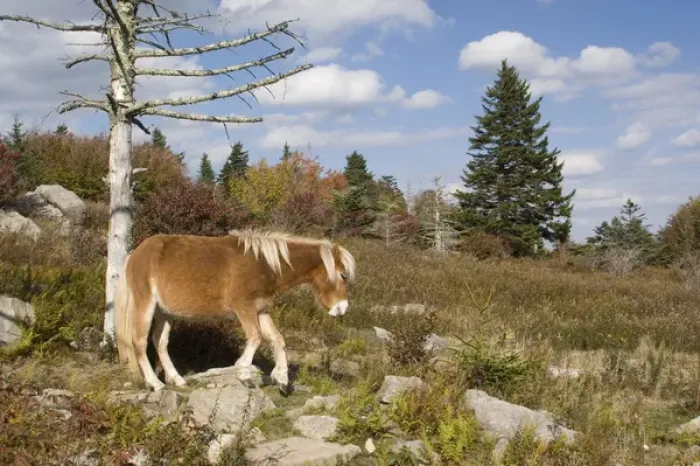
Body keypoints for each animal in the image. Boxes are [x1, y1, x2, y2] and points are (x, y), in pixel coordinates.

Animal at [113, 229, 356, 394]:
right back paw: (156, 383)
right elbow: (255, 338)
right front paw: (243, 372)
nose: (342, 309)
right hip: (145, 305)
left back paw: (177, 379)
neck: (265, 265)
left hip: (165, 312)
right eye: (342, 275)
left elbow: (277, 339)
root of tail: (135, 254)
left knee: (160, 343)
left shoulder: (260, 310)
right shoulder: (244, 308)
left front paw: (281, 378)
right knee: (139, 343)